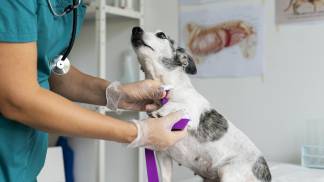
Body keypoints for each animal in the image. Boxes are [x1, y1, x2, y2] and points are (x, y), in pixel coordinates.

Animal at [129, 26, 270, 182]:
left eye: (161, 35)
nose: (136, 29)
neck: (166, 89)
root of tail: (266, 175)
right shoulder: (163, 153)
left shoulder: (192, 115)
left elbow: (179, 105)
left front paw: (163, 110)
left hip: (229, 171)